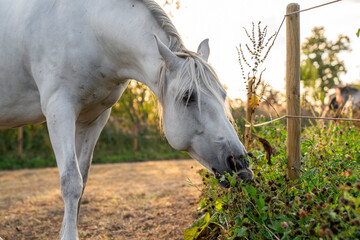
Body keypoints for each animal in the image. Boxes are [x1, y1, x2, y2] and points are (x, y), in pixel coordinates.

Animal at [0, 0, 252, 238]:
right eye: (188, 97)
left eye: (223, 95)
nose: (240, 165)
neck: (88, 29)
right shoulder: (59, 109)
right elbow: (71, 181)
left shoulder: (94, 118)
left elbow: (82, 181)